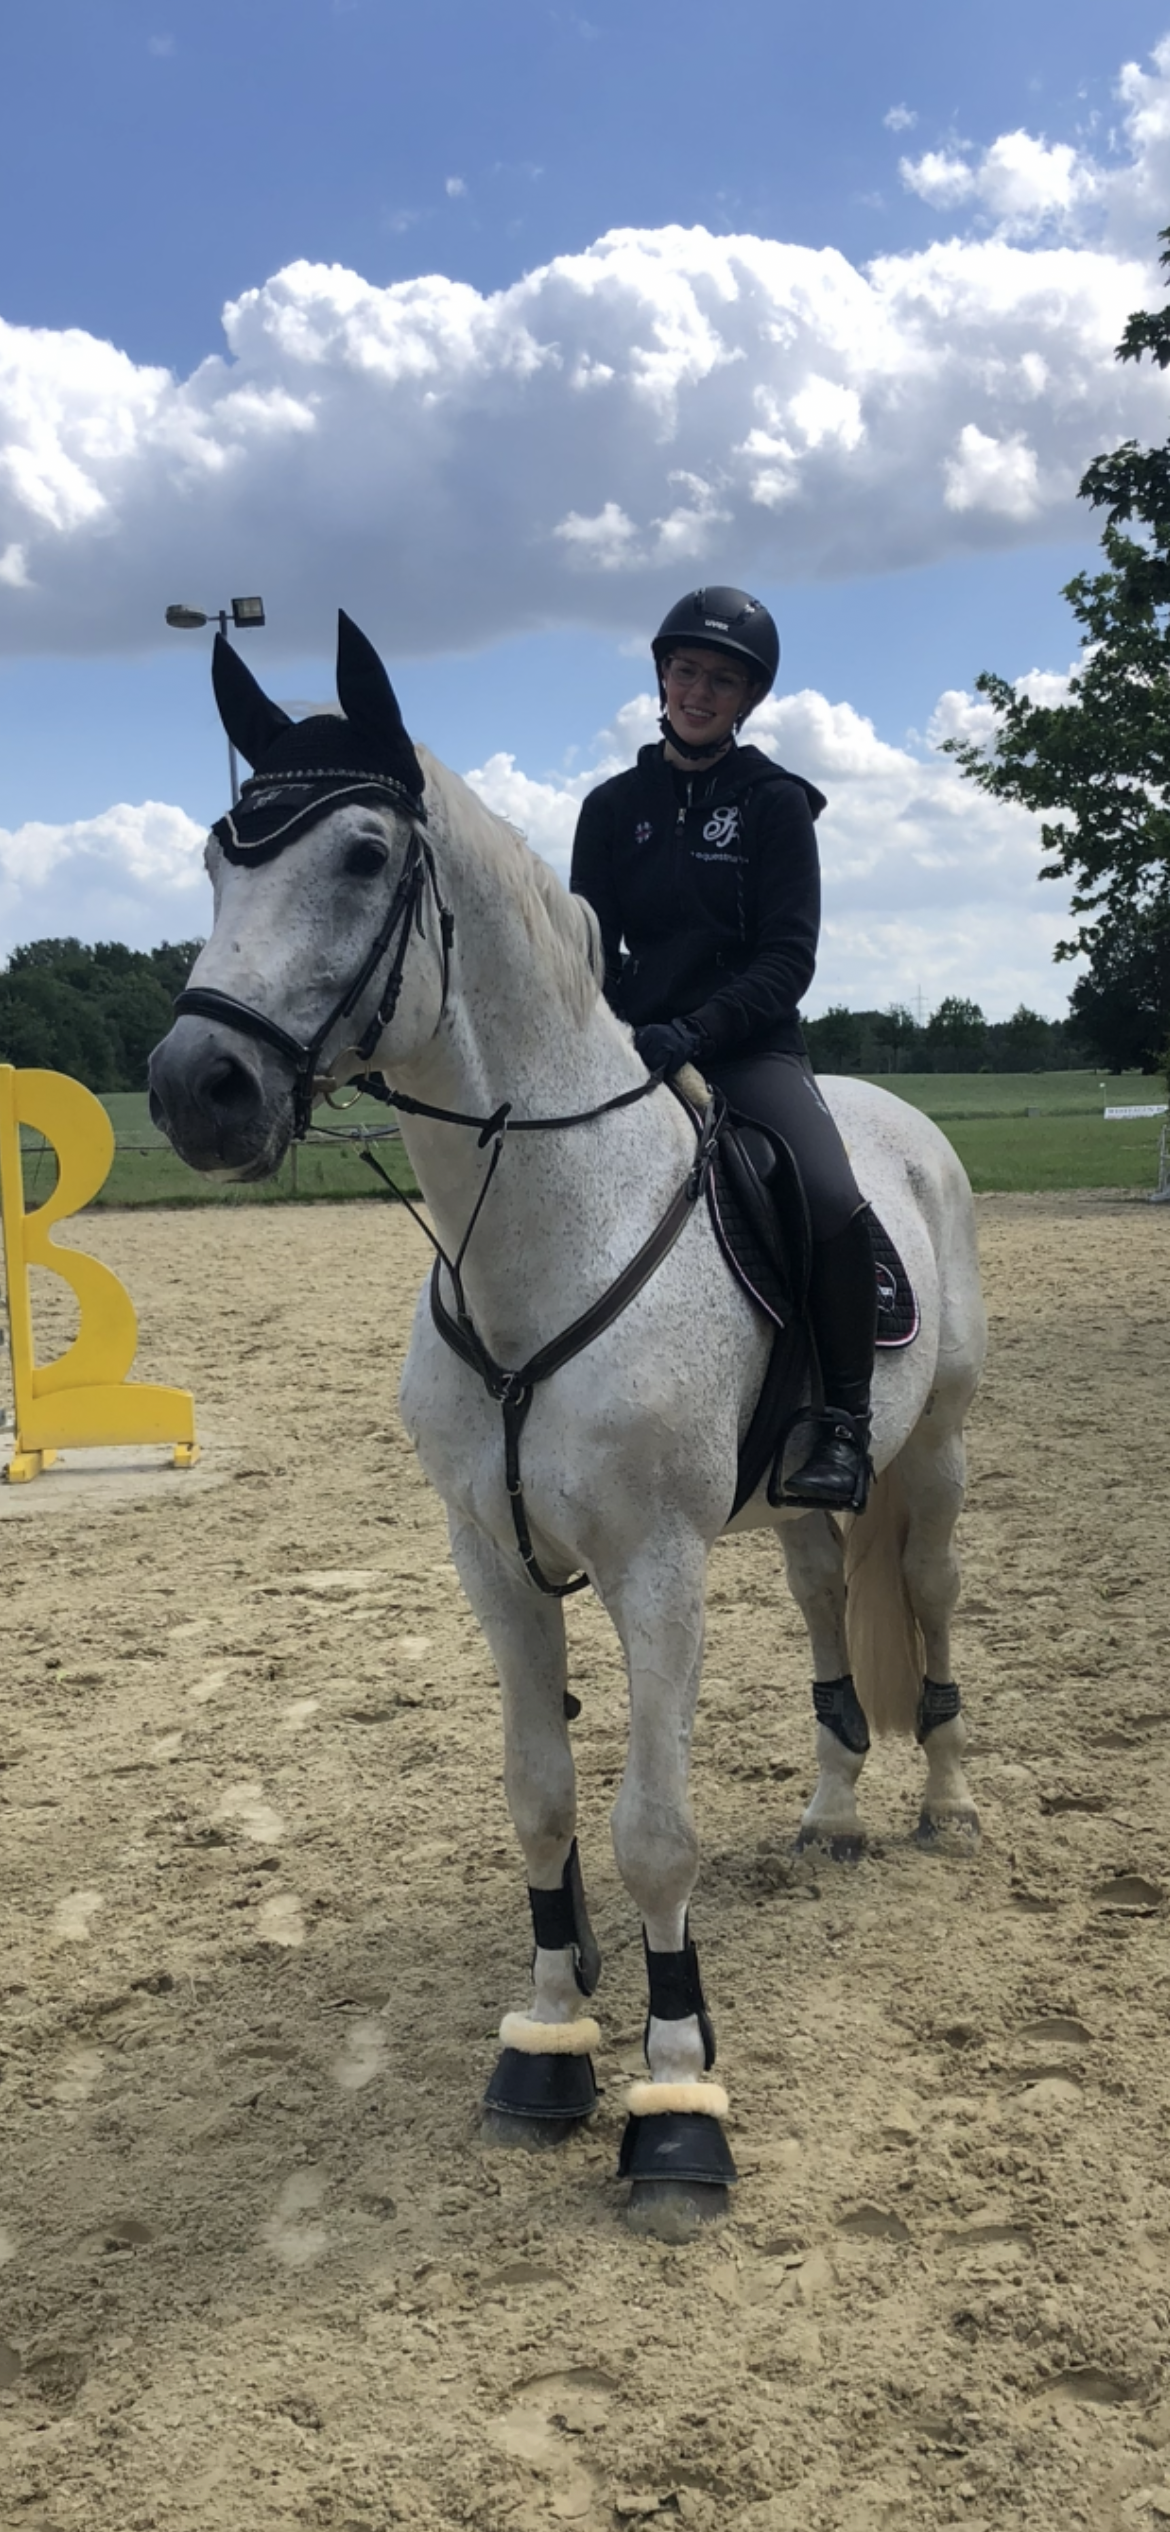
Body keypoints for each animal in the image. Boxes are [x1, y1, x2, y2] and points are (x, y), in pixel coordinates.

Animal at [149, 611, 987, 2239]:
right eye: (221, 855)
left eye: (362, 853)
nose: (194, 1089)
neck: (539, 1230)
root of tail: (897, 1122)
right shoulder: (490, 1560)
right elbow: (540, 1799)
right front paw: (546, 2040)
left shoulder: (656, 1569)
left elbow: (650, 1831)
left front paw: (674, 2102)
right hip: (804, 1501)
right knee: (825, 1608)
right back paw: (834, 1806)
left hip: (933, 1463)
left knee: (921, 1605)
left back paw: (942, 1805)